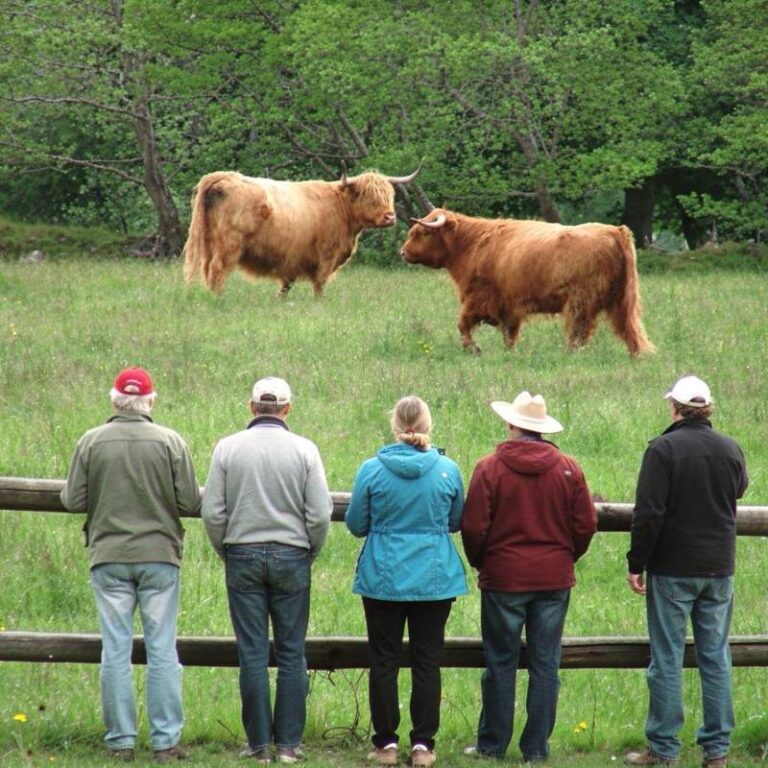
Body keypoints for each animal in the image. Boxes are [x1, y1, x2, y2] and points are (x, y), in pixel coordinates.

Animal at [183, 165, 420, 296]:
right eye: (368, 196)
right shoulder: (326, 256)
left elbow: (286, 285)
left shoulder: (292, 259)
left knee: (207, 269)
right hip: (229, 245)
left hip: (208, 243)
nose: (390, 217)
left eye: (389, 195)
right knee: (217, 270)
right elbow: (319, 284)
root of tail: (222, 176)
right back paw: (219, 297)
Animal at [400, 208, 655, 357]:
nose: (403, 252)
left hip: (580, 301)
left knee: (578, 331)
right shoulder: (509, 307)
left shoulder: (478, 299)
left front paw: (475, 349)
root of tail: (615, 230)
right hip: (623, 300)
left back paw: (570, 355)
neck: (472, 245)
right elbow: (509, 335)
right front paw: (509, 354)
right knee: (629, 328)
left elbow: (463, 325)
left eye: (423, 233)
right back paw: (637, 355)